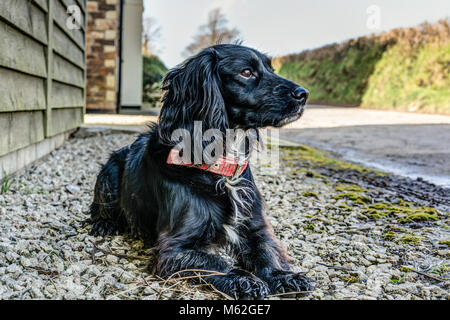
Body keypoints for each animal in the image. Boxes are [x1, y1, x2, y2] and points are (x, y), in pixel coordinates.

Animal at [89, 43, 312, 298]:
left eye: (271, 69)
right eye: (246, 72)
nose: (303, 94)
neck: (220, 168)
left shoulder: (255, 227)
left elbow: (267, 252)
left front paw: (282, 276)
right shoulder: (176, 247)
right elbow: (215, 263)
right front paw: (244, 279)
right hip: (109, 174)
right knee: (99, 209)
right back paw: (104, 223)